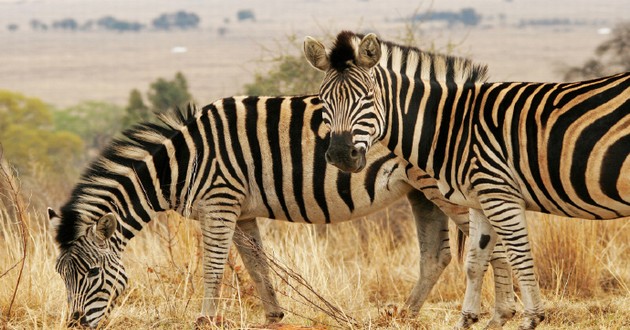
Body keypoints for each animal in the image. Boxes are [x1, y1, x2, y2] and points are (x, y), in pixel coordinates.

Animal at [304, 29, 628, 328]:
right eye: (323, 100)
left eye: (367, 98)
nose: (340, 155)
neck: (453, 127)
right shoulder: (480, 200)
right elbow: (475, 261)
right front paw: (471, 319)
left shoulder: (500, 195)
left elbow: (520, 258)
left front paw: (532, 319)